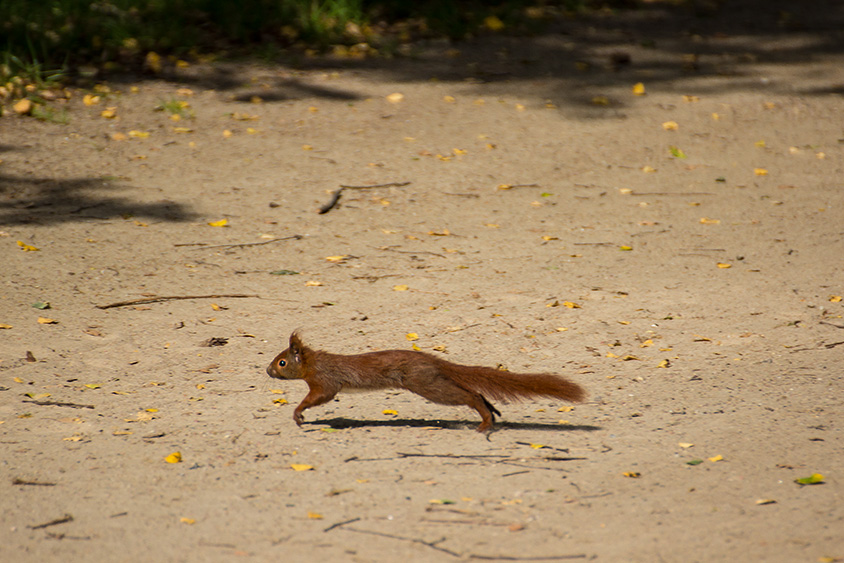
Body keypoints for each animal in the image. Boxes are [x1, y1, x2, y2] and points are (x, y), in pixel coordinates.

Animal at [268, 334, 584, 432]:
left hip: (426, 384)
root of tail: (434, 361)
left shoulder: (325, 381)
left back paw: (484, 420)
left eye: (282, 362)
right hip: (431, 382)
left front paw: (298, 414)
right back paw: (490, 413)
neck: (313, 363)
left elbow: (319, 397)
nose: (268, 370)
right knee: (472, 391)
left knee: (470, 396)